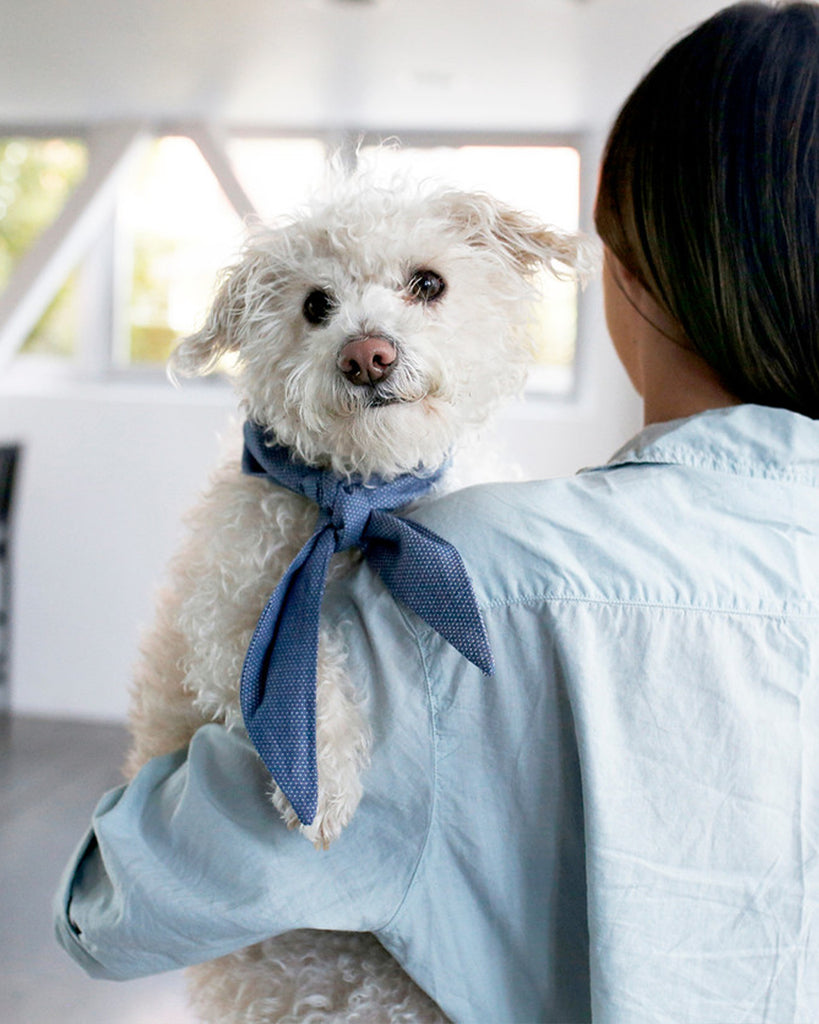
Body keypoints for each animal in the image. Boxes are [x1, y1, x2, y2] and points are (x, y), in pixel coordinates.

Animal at [124, 178, 593, 1024]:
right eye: (316, 305)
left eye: (428, 284)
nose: (366, 354)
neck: (360, 499)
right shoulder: (226, 610)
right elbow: (301, 671)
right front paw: (326, 782)